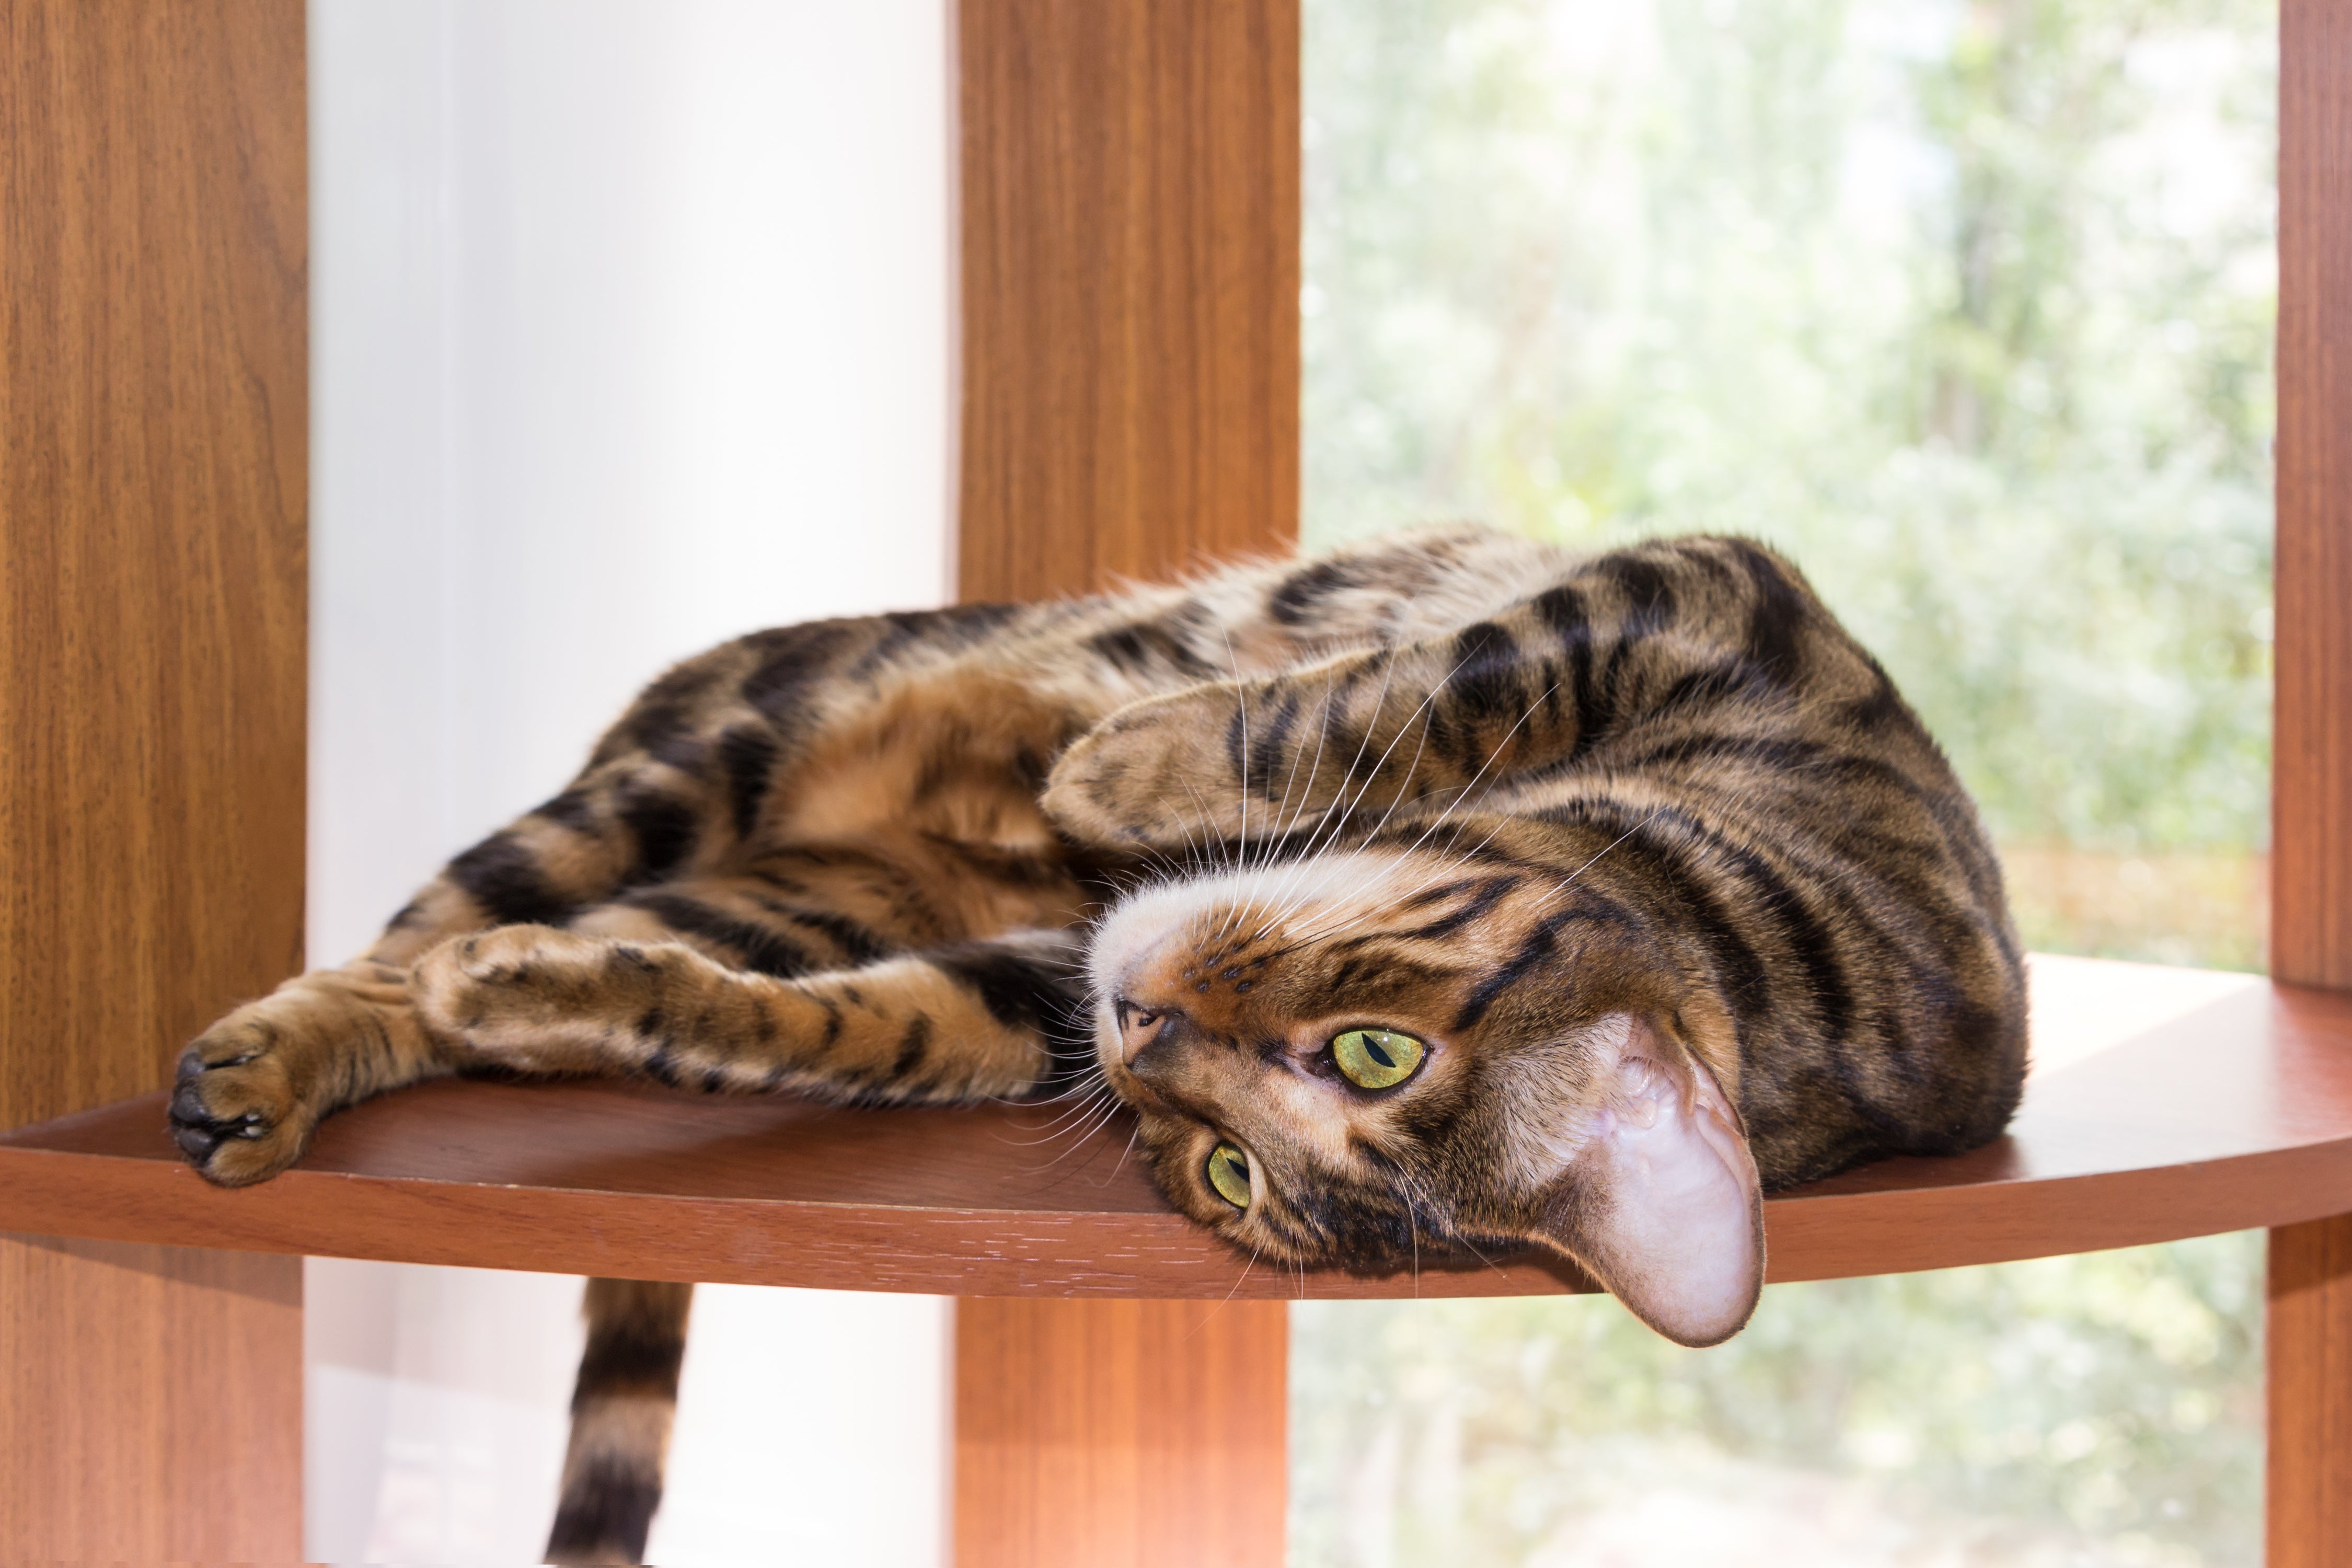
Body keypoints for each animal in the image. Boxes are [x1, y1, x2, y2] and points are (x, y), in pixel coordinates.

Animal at [174, 526, 2032, 1561]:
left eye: (1225, 1170)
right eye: (1378, 1053)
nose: (1145, 1026)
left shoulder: (1013, 990)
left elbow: (832, 1030)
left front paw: (550, 1002)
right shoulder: (1709, 593)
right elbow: (1423, 682)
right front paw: (1126, 757)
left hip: (782, 883)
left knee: (531, 958)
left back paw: (406, 1025)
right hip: (698, 754)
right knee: (408, 932)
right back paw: (274, 1058)